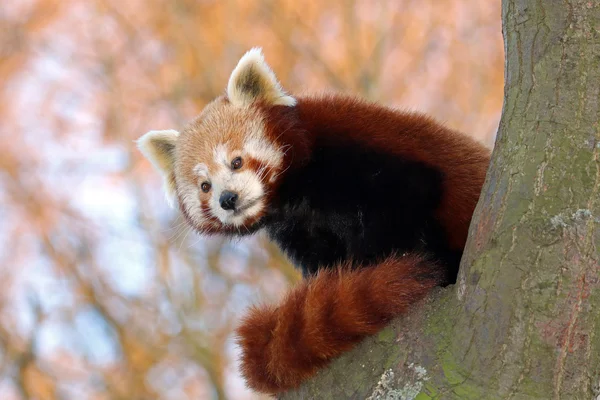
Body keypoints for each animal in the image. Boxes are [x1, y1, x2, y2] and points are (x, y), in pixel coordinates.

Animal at [137, 47, 492, 394]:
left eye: (236, 162)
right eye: (205, 186)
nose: (228, 199)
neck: (295, 195)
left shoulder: (367, 159)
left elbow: (404, 206)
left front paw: (387, 268)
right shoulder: (300, 229)